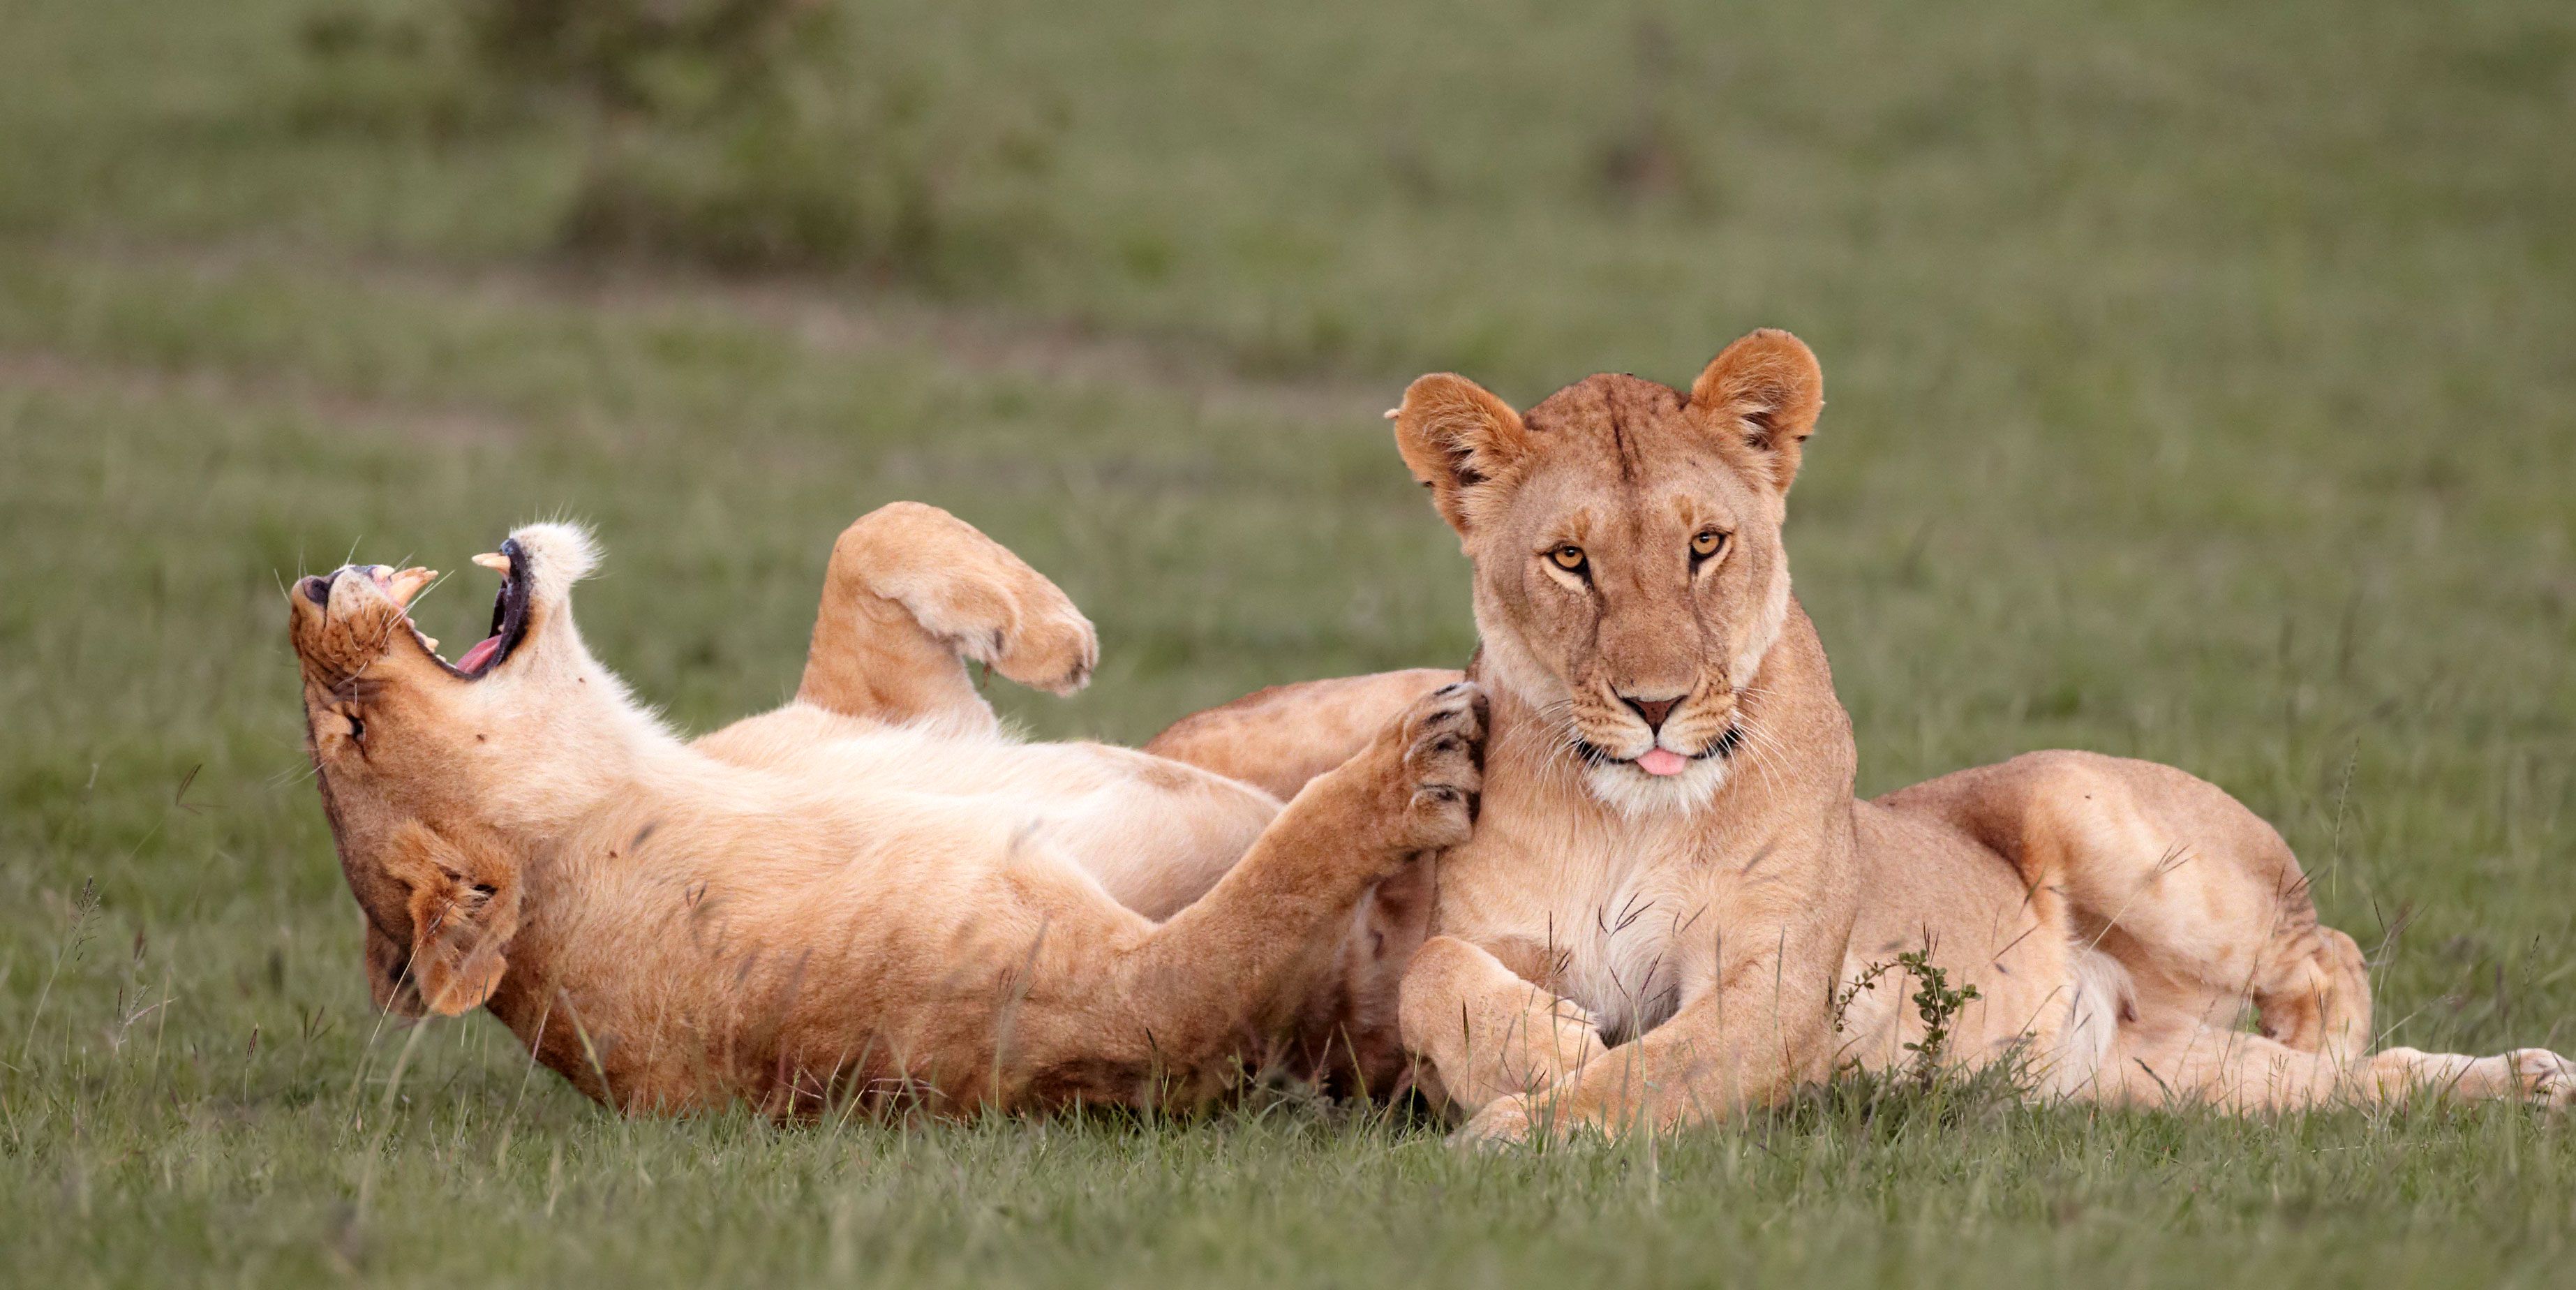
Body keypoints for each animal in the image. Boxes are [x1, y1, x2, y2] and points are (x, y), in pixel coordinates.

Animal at [1154, 324, 2576, 1138]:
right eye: (1568, 560)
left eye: (1704, 544)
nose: (1657, 704)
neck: (1633, 810)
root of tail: (2111, 1020)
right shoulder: (1482, 940)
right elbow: (1441, 980)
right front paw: (1540, 1048)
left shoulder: (1772, 988)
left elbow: (1642, 1079)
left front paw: (1522, 1126)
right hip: (2165, 1088)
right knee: (2358, 1088)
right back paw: (2525, 1081)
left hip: (2103, 818)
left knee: (2328, 954)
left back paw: (2404, 1045)